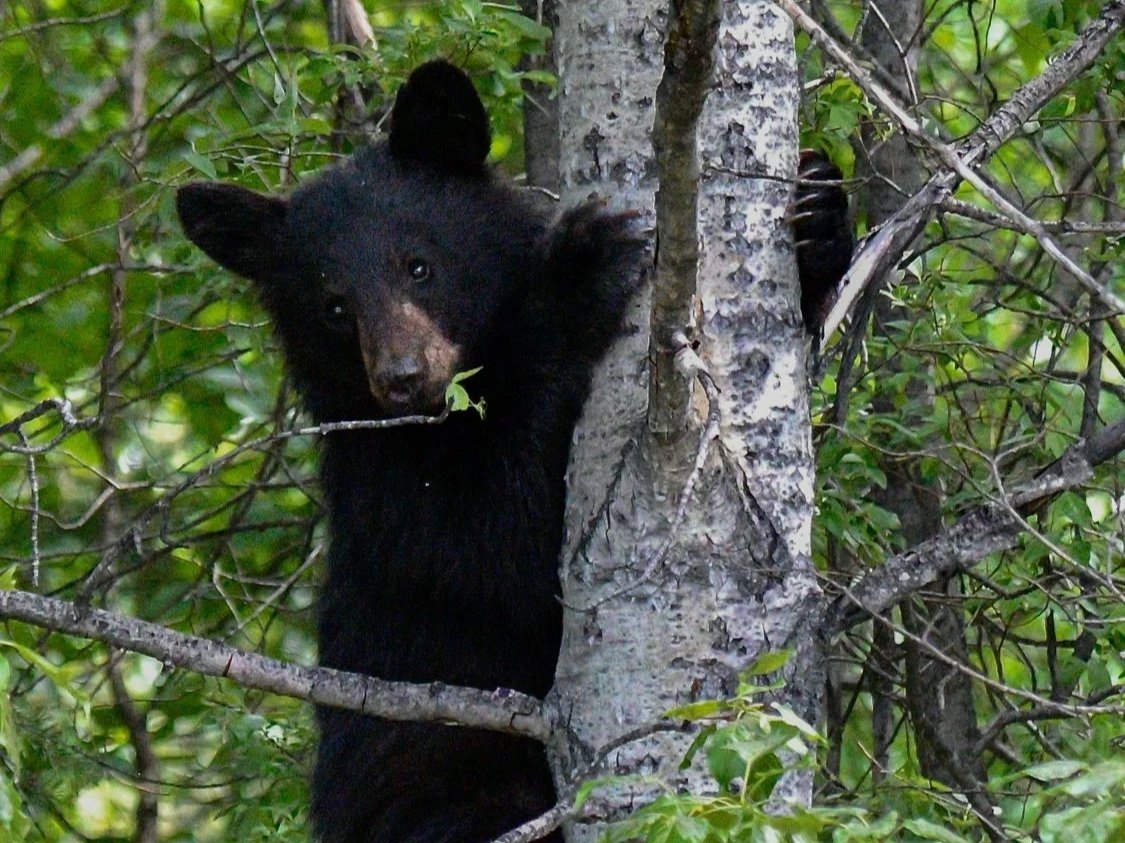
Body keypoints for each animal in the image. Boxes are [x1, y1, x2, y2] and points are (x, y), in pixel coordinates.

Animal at [176, 60, 852, 843]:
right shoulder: (383, 487)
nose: (402, 377)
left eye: (418, 266)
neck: (443, 422)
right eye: (334, 307)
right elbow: (500, 551)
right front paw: (583, 267)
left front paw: (819, 213)